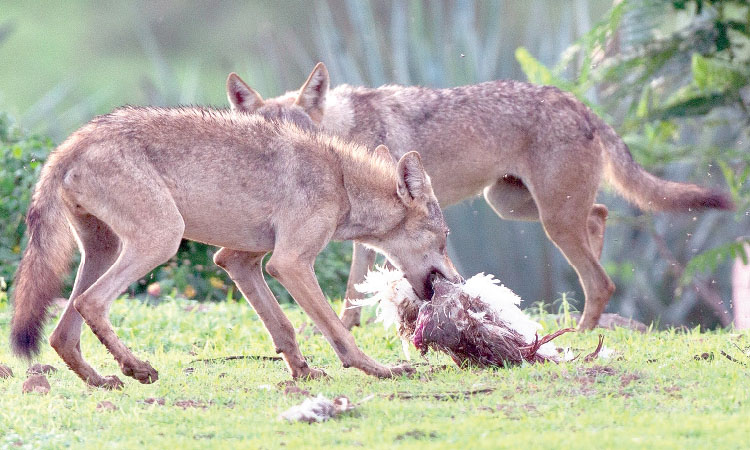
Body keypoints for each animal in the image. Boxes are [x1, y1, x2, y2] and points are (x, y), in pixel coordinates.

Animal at [10, 105, 458, 386]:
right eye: (446, 237)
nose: (456, 281)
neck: (341, 180)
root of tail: (72, 142)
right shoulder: (290, 263)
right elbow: (337, 331)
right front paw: (380, 370)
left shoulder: (239, 261)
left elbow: (283, 327)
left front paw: (303, 373)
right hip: (161, 239)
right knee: (91, 303)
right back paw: (137, 369)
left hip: (101, 252)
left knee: (61, 334)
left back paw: (102, 380)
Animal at [228, 64, 736, 330]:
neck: (343, 132)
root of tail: (579, 104)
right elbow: (354, 292)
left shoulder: (372, 232)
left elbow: (355, 290)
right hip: (517, 207)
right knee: (600, 213)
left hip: (550, 220)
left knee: (601, 279)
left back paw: (581, 340)